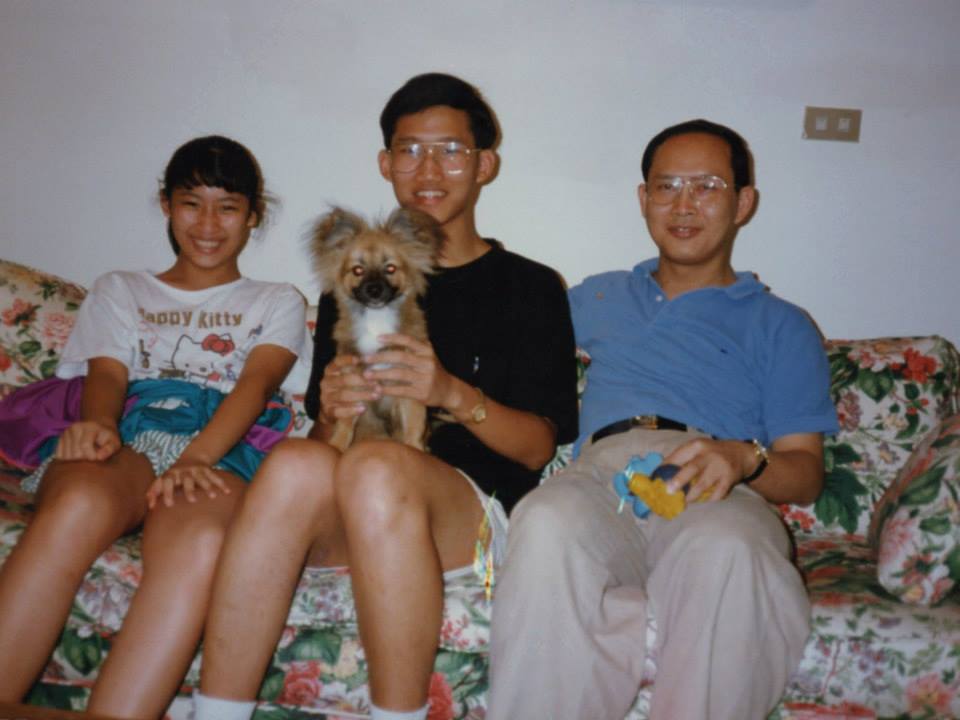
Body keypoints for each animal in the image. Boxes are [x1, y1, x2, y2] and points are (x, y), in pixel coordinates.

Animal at [310, 206, 443, 451]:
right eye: (357, 270)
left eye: (390, 268)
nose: (373, 289)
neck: (377, 319)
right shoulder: (352, 385)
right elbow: (345, 423)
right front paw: (337, 446)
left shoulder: (409, 387)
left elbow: (413, 426)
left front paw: (415, 450)